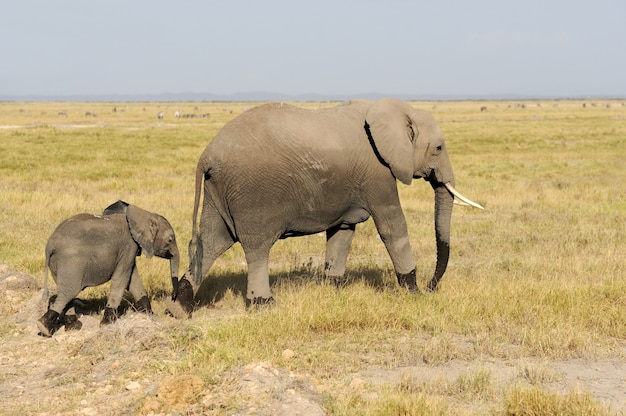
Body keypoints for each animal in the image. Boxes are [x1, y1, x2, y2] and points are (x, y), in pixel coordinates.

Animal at [36, 201, 179, 338]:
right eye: (170, 240)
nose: (173, 298)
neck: (142, 214)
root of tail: (50, 246)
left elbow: (132, 280)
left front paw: (151, 316)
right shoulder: (129, 246)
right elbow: (122, 279)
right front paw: (106, 324)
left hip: (57, 264)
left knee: (65, 291)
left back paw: (73, 326)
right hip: (71, 262)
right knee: (68, 292)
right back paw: (44, 327)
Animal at [171, 98, 482, 316]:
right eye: (439, 148)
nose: (432, 288)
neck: (397, 109)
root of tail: (207, 156)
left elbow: (343, 231)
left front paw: (333, 288)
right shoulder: (378, 173)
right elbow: (392, 227)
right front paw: (412, 292)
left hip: (219, 191)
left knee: (211, 243)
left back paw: (179, 310)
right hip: (251, 193)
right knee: (256, 248)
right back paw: (265, 305)